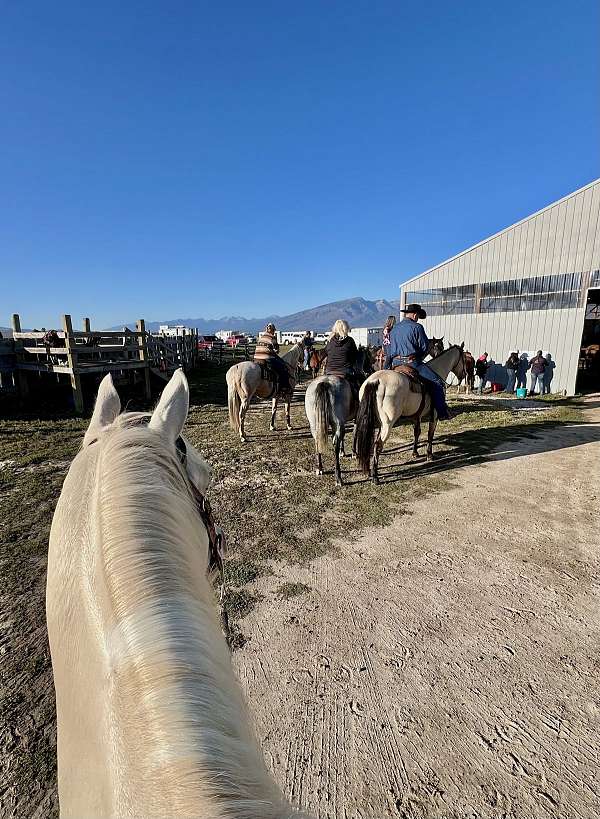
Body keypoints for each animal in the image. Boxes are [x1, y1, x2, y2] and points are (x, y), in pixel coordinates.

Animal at [308, 348, 372, 486]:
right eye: (368, 358)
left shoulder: (343, 421)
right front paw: (353, 453)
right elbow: (354, 433)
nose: (370, 370)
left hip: (315, 424)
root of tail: (324, 383)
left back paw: (319, 468)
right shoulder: (355, 418)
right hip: (337, 423)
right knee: (335, 444)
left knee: (317, 440)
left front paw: (343, 452)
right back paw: (338, 478)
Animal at [354, 344, 466, 484]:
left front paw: (415, 453)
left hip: (373, 422)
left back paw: (368, 470)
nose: (464, 374)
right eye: (464, 358)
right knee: (378, 445)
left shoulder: (416, 416)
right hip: (387, 424)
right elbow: (430, 434)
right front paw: (429, 455)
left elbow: (416, 432)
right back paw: (375, 476)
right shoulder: (434, 415)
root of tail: (375, 381)